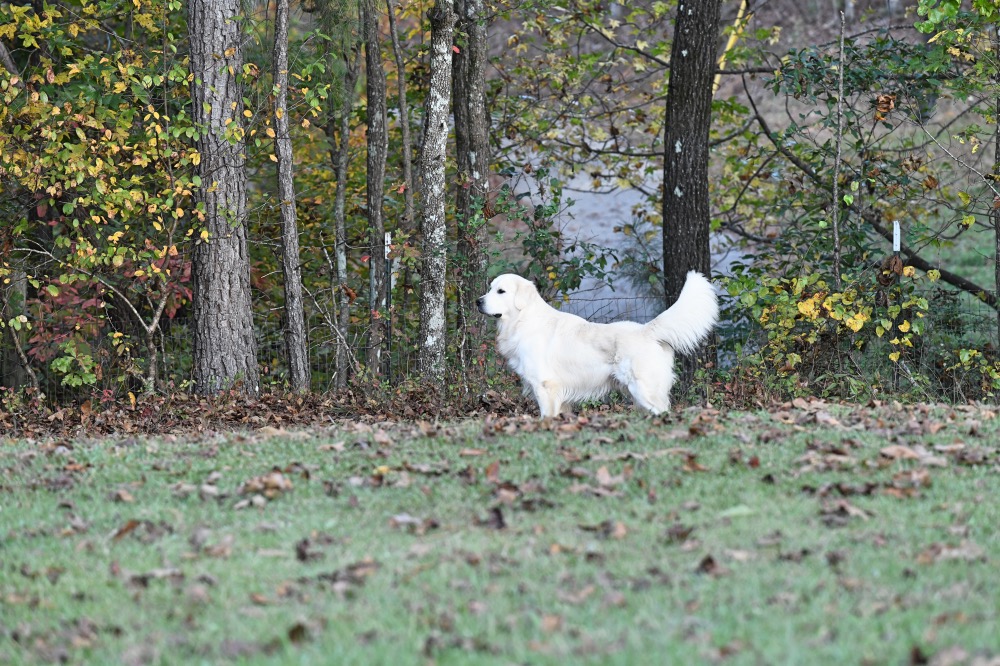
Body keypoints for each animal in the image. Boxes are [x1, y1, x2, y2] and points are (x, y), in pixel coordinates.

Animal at [478, 272, 720, 416]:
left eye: (501, 291)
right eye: (490, 288)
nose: (478, 301)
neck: (523, 319)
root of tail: (647, 330)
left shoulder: (545, 386)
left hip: (643, 388)